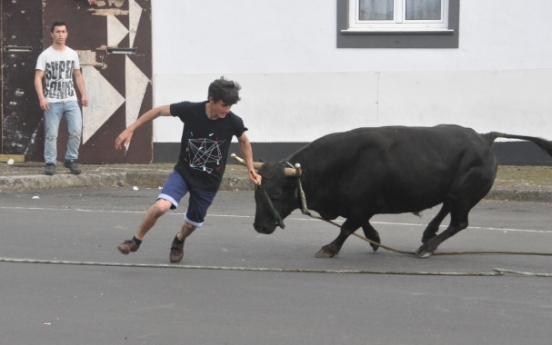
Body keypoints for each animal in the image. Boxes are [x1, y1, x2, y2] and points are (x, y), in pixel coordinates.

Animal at [250, 125, 552, 256]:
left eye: (277, 192)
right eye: (256, 193)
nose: (260, 227)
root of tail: (484, 137)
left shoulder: (363, 204)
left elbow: (347, 227)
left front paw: (330, 248)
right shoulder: (361, 206)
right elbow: (360, 223)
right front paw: (374, 239)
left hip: (465, 195)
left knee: (459, 222)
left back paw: (428, 247)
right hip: (454, 192)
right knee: (446, 209)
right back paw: (427, 235)